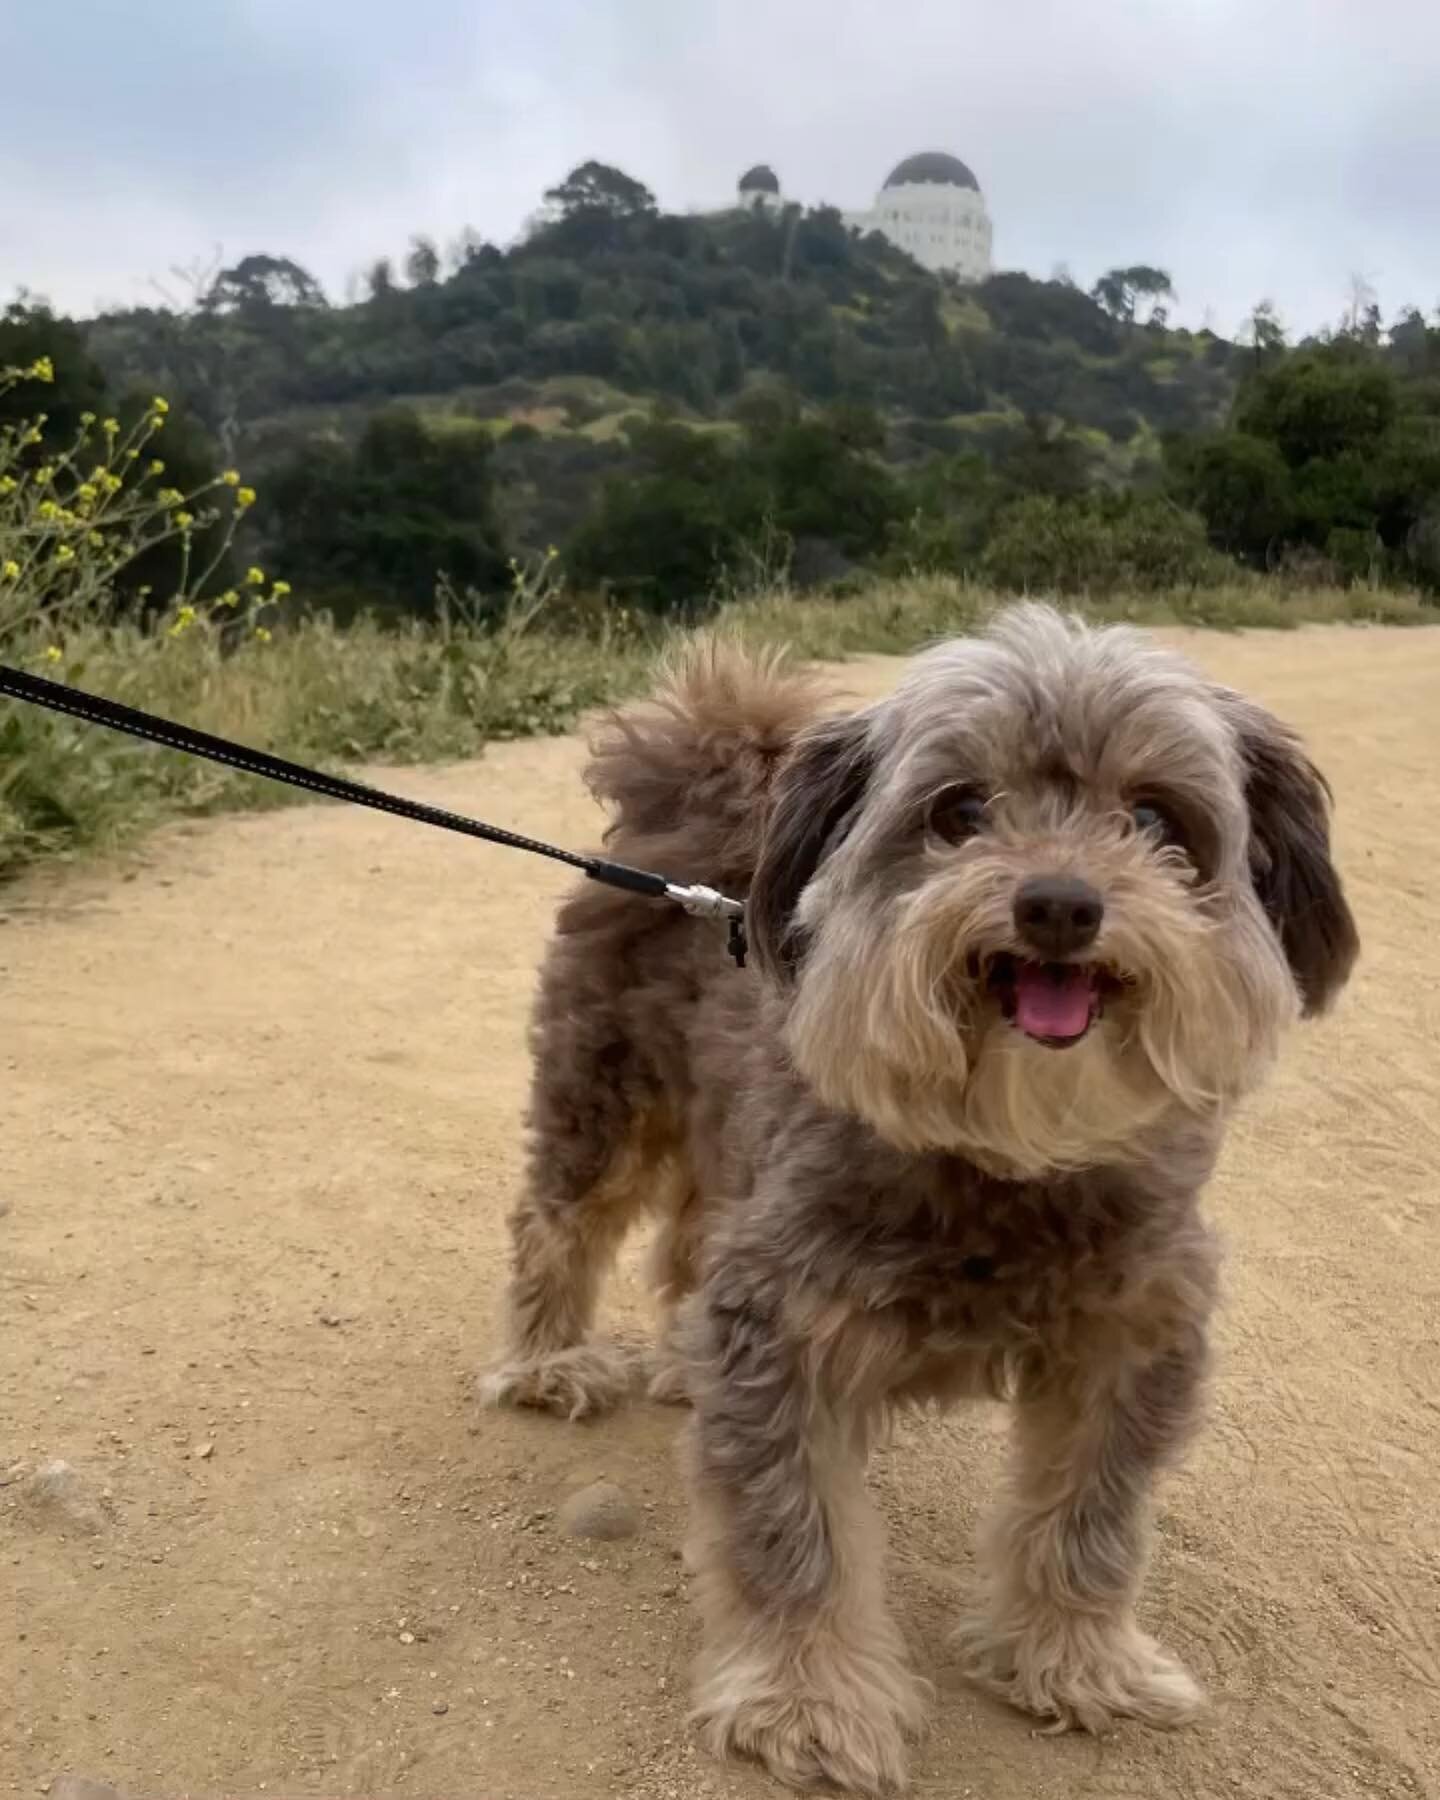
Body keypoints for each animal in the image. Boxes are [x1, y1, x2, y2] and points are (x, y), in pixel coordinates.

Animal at [486, 608, 1360, 1800]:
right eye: (958, 812)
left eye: (1152, 816)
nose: (1058, 904)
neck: (1002, 1151)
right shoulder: (786, 1336)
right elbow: (796, 1544)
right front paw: (807, 1704)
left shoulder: (1132, 1335)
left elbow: (1089, 1521)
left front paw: (1078, 1660)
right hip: (606, 1101)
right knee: (559, 1225)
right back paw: (545, 1362)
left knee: (686, 1250)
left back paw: (673, 1357)